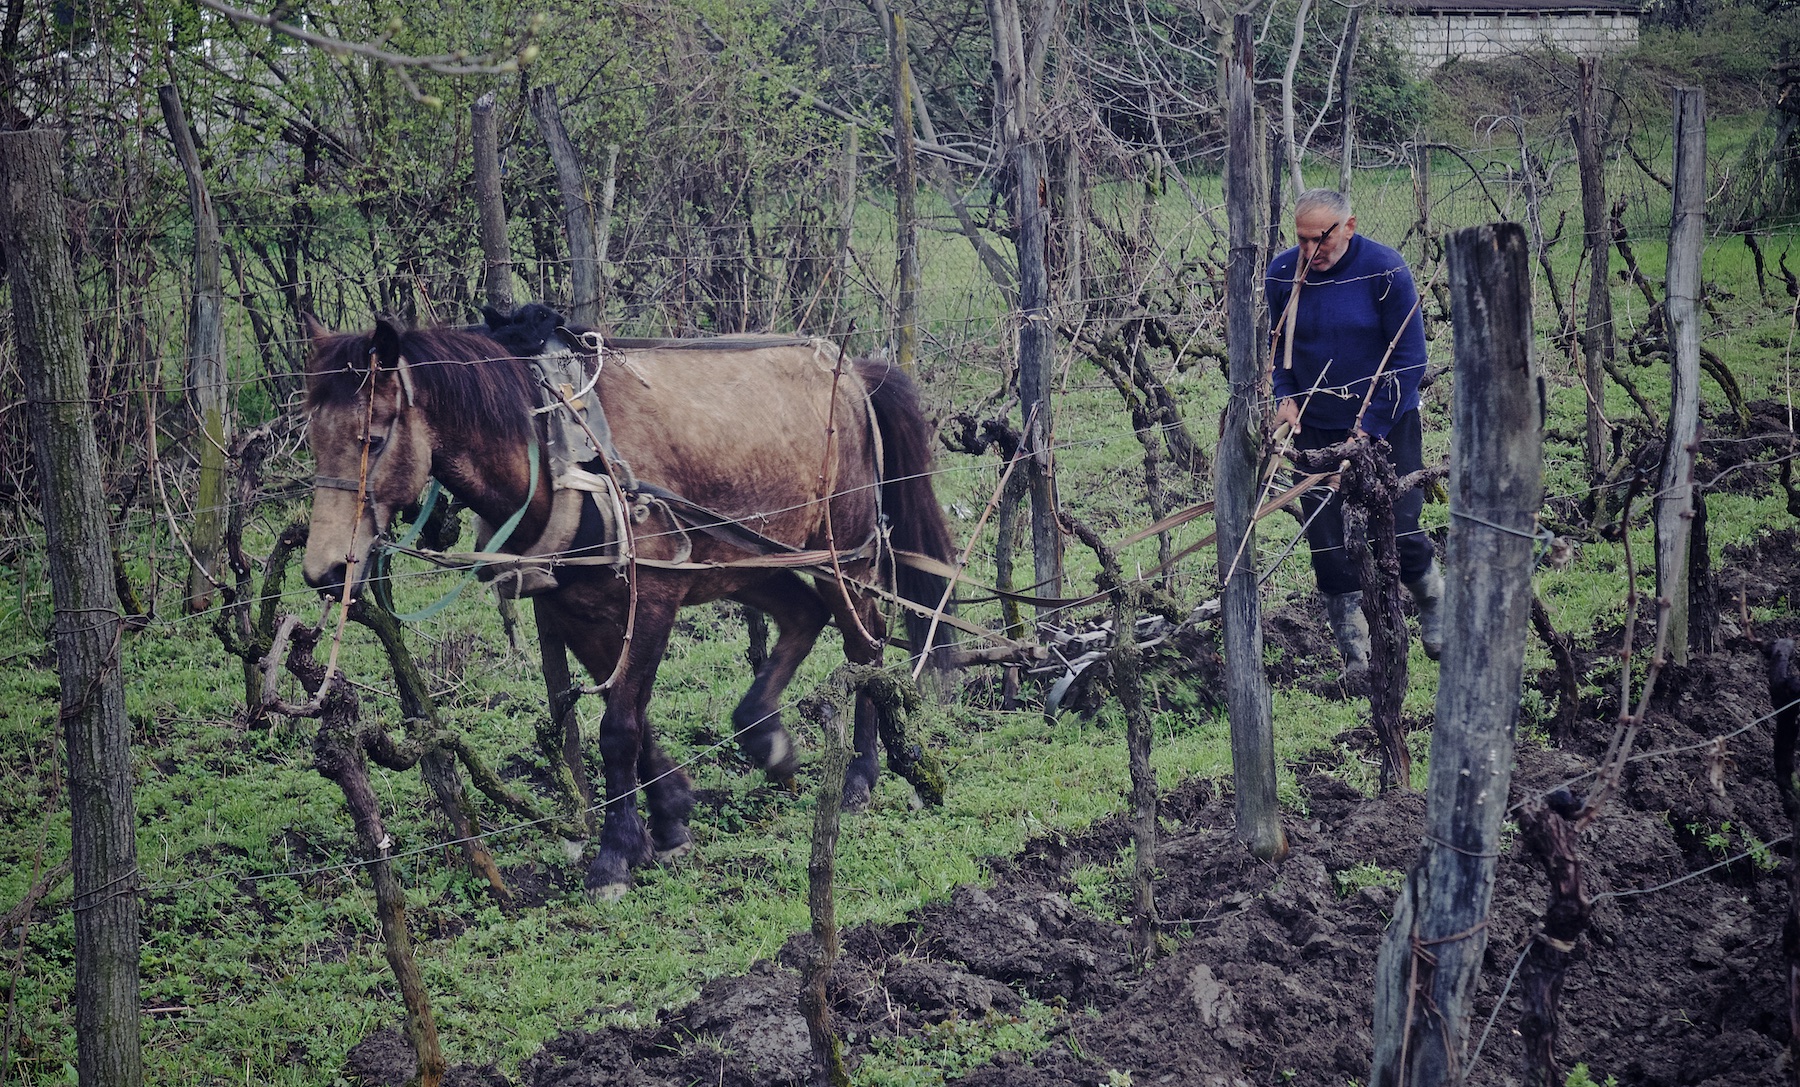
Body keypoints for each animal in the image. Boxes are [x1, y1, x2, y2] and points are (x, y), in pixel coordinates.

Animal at [304, 307, 957, 899]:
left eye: (373, 439)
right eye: (311, 439)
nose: (325, 570)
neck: (560, 453)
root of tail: (853, 374)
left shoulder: (654, 599)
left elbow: (618, 728)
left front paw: (616, 854)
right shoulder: (575, 611)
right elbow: (634, 721)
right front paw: (669, 816)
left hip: (846, 555)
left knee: (864, 646)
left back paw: (859, 775)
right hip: (742, 561)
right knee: (804, 616)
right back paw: (764, 736)